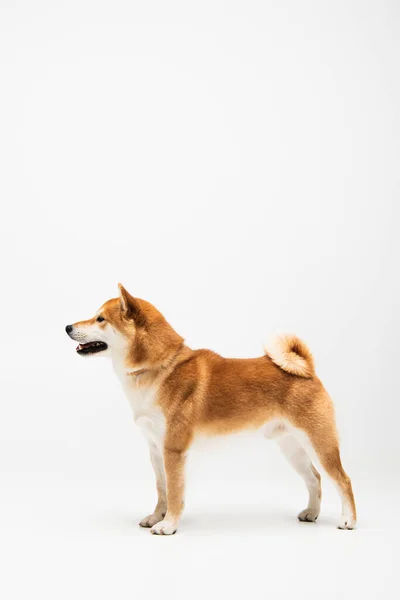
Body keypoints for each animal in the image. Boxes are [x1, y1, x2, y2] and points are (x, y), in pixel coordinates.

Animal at [65, 284, 356, 536]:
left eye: (100, 319)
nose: (67, 326)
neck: (159, 368)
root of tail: (308, 370)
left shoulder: (173, 450)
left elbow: (174, 492)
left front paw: (168, 525)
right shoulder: (156, 449)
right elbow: (161, 490)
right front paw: (156, 517)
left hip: (319, 443)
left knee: (343, 480)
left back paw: (348, 521)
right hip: (291, 447)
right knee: (314, 479)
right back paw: (311, 513)